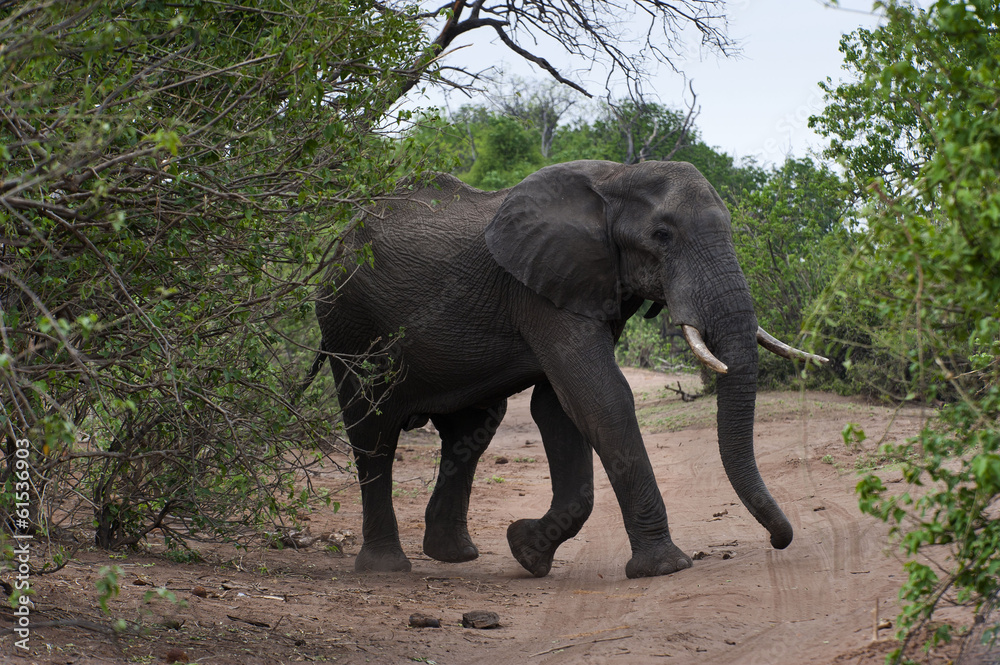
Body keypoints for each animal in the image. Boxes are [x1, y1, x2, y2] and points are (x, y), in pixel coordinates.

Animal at [307, 159, 827, 579]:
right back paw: (386, 568)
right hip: (346, 321)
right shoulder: (539, 288)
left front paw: (526, 551)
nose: (779, 541)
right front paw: (666, 568)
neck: (618, 178)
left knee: (472, 430)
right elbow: (599, 396)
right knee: (372, 432)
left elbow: (560, 406)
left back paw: (455, 556)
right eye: (662, 236)